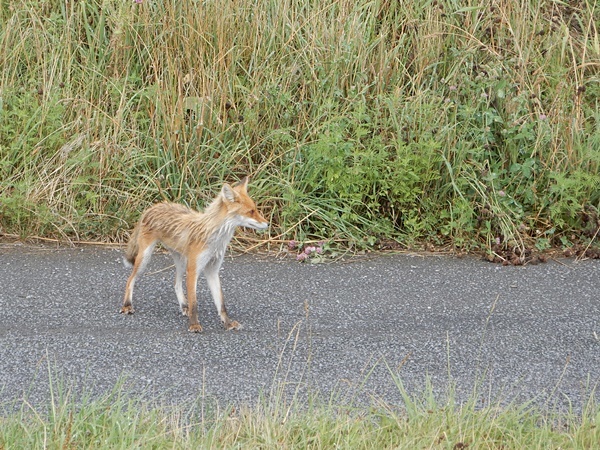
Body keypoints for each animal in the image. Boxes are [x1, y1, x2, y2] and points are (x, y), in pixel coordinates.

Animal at [120, 178, 268, 332]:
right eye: (251, 211)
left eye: (255, 209)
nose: (267, 223)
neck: (215, 238)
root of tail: (153, 207)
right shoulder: (193, 269)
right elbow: (194, 303)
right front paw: (194, 324)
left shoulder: (212, 269)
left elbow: (221, 303)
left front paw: (227, 323)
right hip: (145, 258)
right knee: (130, 279)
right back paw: (127, 305)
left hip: (181, 261)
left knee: (176, 284)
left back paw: (184, 306)